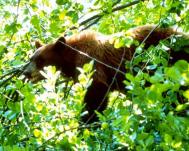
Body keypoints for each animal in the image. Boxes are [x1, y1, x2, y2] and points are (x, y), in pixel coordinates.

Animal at [23, 25, 189, 123]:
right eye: (31, 58)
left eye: (40, 60)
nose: (26, 72)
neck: (71, 56)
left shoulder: (89, 60)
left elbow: (96, 89)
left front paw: (86, 122)